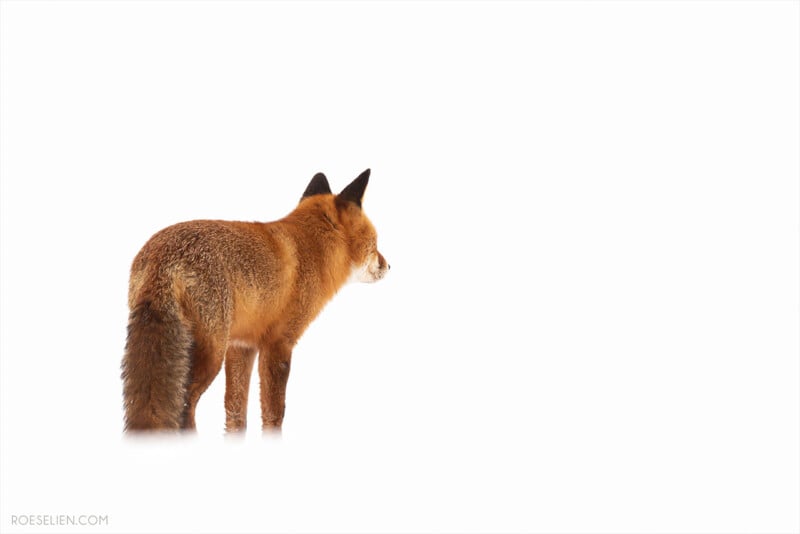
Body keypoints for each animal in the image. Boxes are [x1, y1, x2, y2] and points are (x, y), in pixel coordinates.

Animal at [121, 169, 389, 433]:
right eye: (375, 243)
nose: (389, 266)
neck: (313, 248)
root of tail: (161, 258)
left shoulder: (242, 345)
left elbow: (236, 412)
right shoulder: (279, 343)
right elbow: (274, 412)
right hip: (209, 354)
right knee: (186, 406)